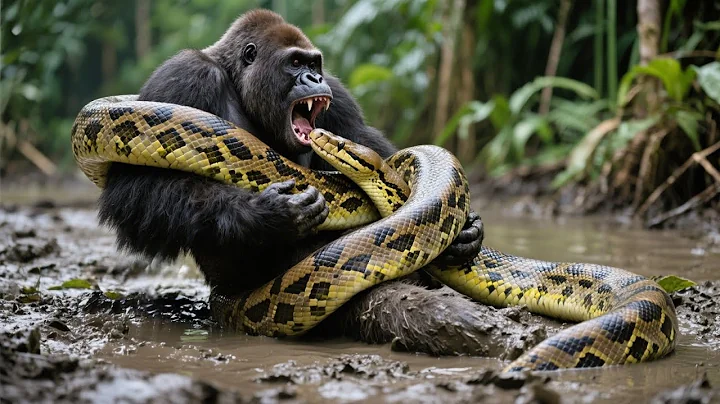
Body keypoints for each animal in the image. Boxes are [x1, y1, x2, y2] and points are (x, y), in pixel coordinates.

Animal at [98, 9, 488, 355]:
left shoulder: (340, 95)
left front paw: (467, 233)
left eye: (314, 66)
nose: (315, 80)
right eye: (296, 64)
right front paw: (267, 213)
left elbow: (371, 141)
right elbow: (132, 190)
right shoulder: (183, 75)